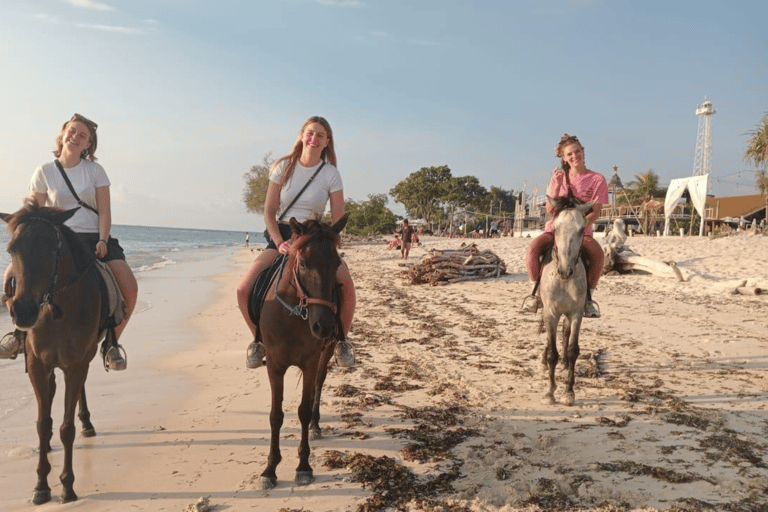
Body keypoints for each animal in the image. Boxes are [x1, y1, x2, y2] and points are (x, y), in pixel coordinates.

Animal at [0, 201, 106, 504]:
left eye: (52, 249)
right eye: (11, 249)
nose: (23, 311)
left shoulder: (76, 363)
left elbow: (66, 428)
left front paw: (67, 486)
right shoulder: (38, 365)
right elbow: (43, 424)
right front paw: (40, 485)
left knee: (79, 390)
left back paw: (87, 423)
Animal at [260, 214, 350, 490]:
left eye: (336, 264)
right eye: (303, 263)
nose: (324, 326)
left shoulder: (310, 362)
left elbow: (303, 409)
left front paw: (303, 467)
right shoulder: (274, 366)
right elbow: (275, 415)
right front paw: (270, 469)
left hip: (327, 351)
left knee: (319, 385)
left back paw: (316, 425)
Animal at [540, 198, 592, 406]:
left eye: (581, 229)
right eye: (555, 228)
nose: (564, 270)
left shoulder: (576, 313)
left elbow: (572, 350)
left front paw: (569, 391)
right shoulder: (551, 313)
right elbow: (552, 353)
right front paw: (549, 392)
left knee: (566, 332)